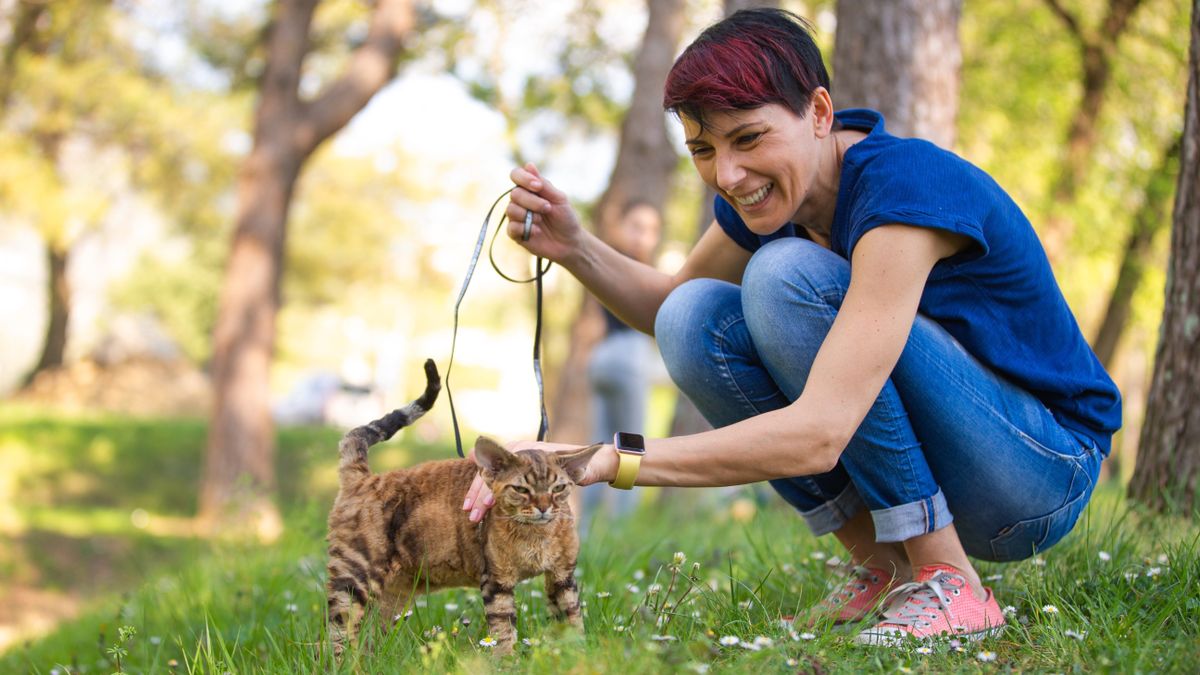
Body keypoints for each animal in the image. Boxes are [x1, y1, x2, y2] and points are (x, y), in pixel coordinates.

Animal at [326, 357, 600, 653]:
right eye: (521, 489)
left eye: (558, 488)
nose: (543, 507)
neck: (537, 537)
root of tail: (364, 477)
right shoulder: (496, 579)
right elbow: (503, 628)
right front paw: (507, 659)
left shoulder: (563, 576)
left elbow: (572, 619)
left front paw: (577, 653)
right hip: (353, 576)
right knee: (335, 636)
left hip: (392, 594)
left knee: (367, 638)